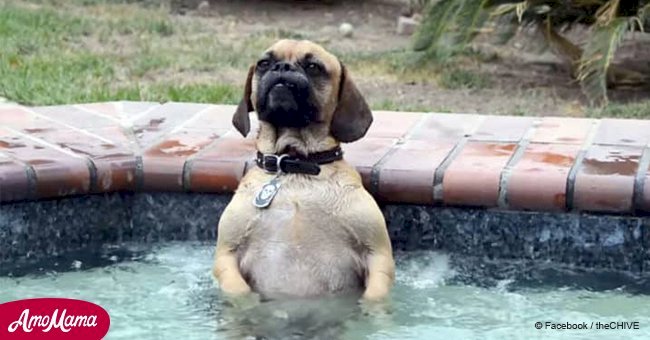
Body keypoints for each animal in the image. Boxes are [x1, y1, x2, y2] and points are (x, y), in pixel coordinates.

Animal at [214, 39, 394, 300]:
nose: (282, 67)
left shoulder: (377, 254)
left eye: (313, 66)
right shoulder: (227, 254)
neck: (294, 166)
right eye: (264, 63)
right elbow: (238, 289)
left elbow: (375, 293)